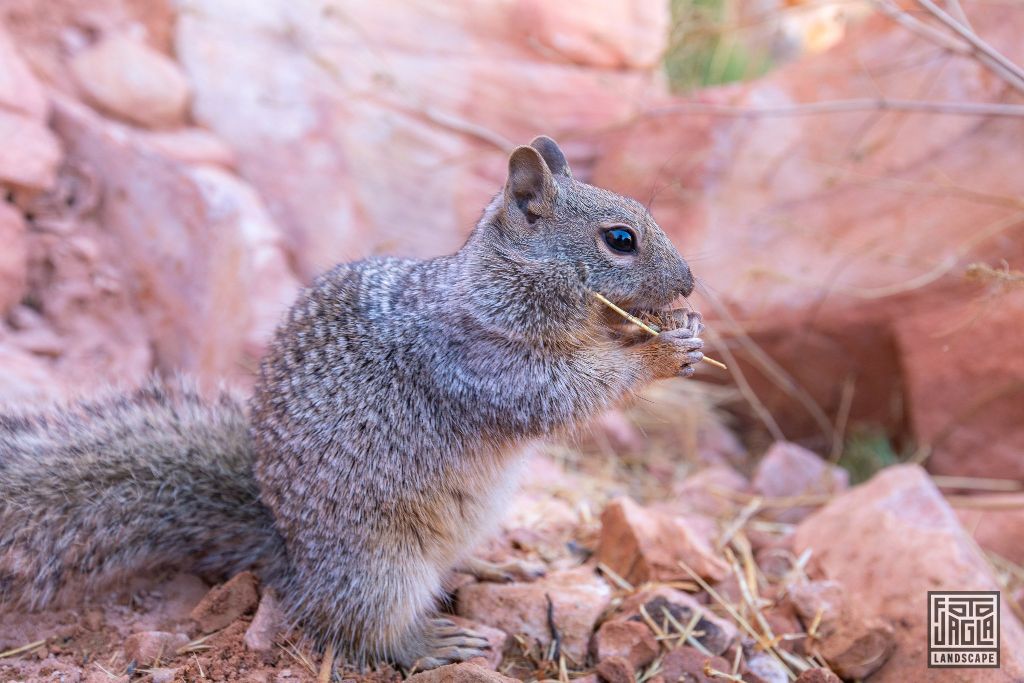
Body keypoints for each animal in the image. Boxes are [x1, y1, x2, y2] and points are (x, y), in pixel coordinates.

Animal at [0, 136, 703, 670]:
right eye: (620, 239)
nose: (691, 283)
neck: (489, 287)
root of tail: (288, 554)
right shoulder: (478, 365)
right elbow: (564, 394)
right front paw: (659, 352)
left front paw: (671, 333)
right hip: (379, 567)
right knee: (362, 626)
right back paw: (428, 641)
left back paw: (494, 569)